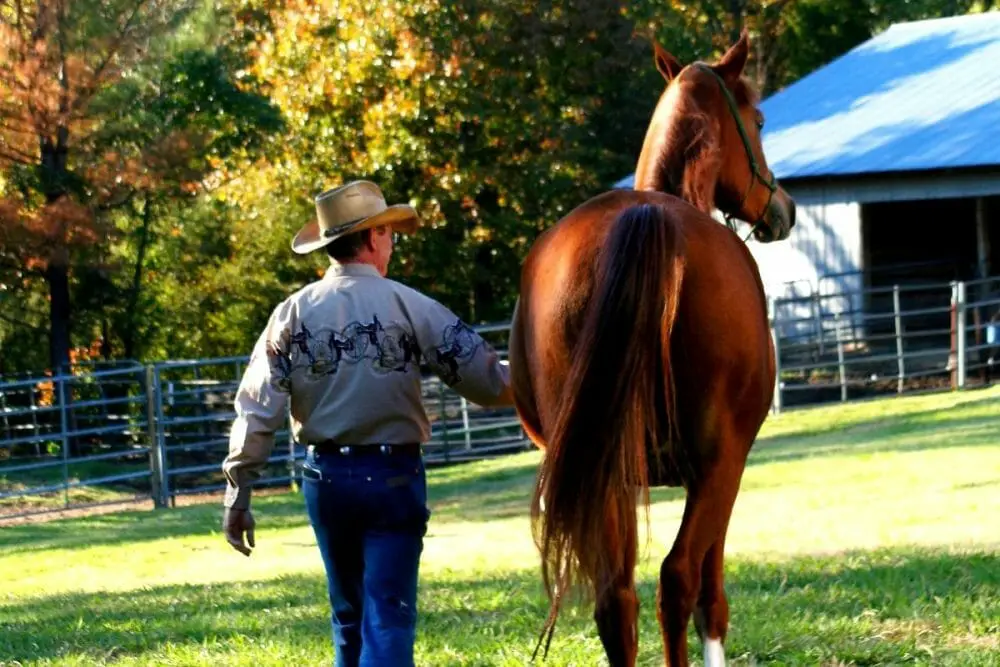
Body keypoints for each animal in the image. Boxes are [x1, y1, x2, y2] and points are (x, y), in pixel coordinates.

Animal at [507, 30, 796, 667]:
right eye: (759, 119)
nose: (782, 209)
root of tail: (642, 217)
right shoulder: (724, 467)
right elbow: (712, 597)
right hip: (715, 465)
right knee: (677, 577)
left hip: (604, 474)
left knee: (617, 599)